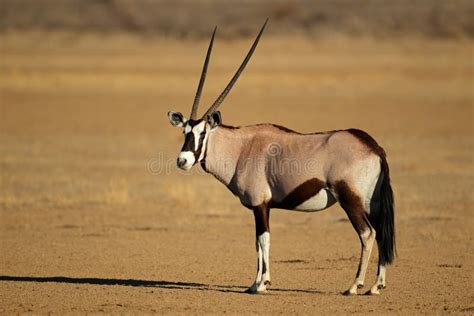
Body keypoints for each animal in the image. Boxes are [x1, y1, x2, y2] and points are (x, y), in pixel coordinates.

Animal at [168, 20, 396, 296]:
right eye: (185, 132)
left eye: (202, 133)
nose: (182, 161)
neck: (241, 148)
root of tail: (374, 147)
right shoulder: (261, 207)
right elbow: (258, 243)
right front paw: (254, 283)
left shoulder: (260, 204)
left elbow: (263, 240)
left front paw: (261, 284)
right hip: (372, 202)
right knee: (382, 233)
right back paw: (376, 286)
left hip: (351, 201)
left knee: (367, 233)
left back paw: (354, 286)